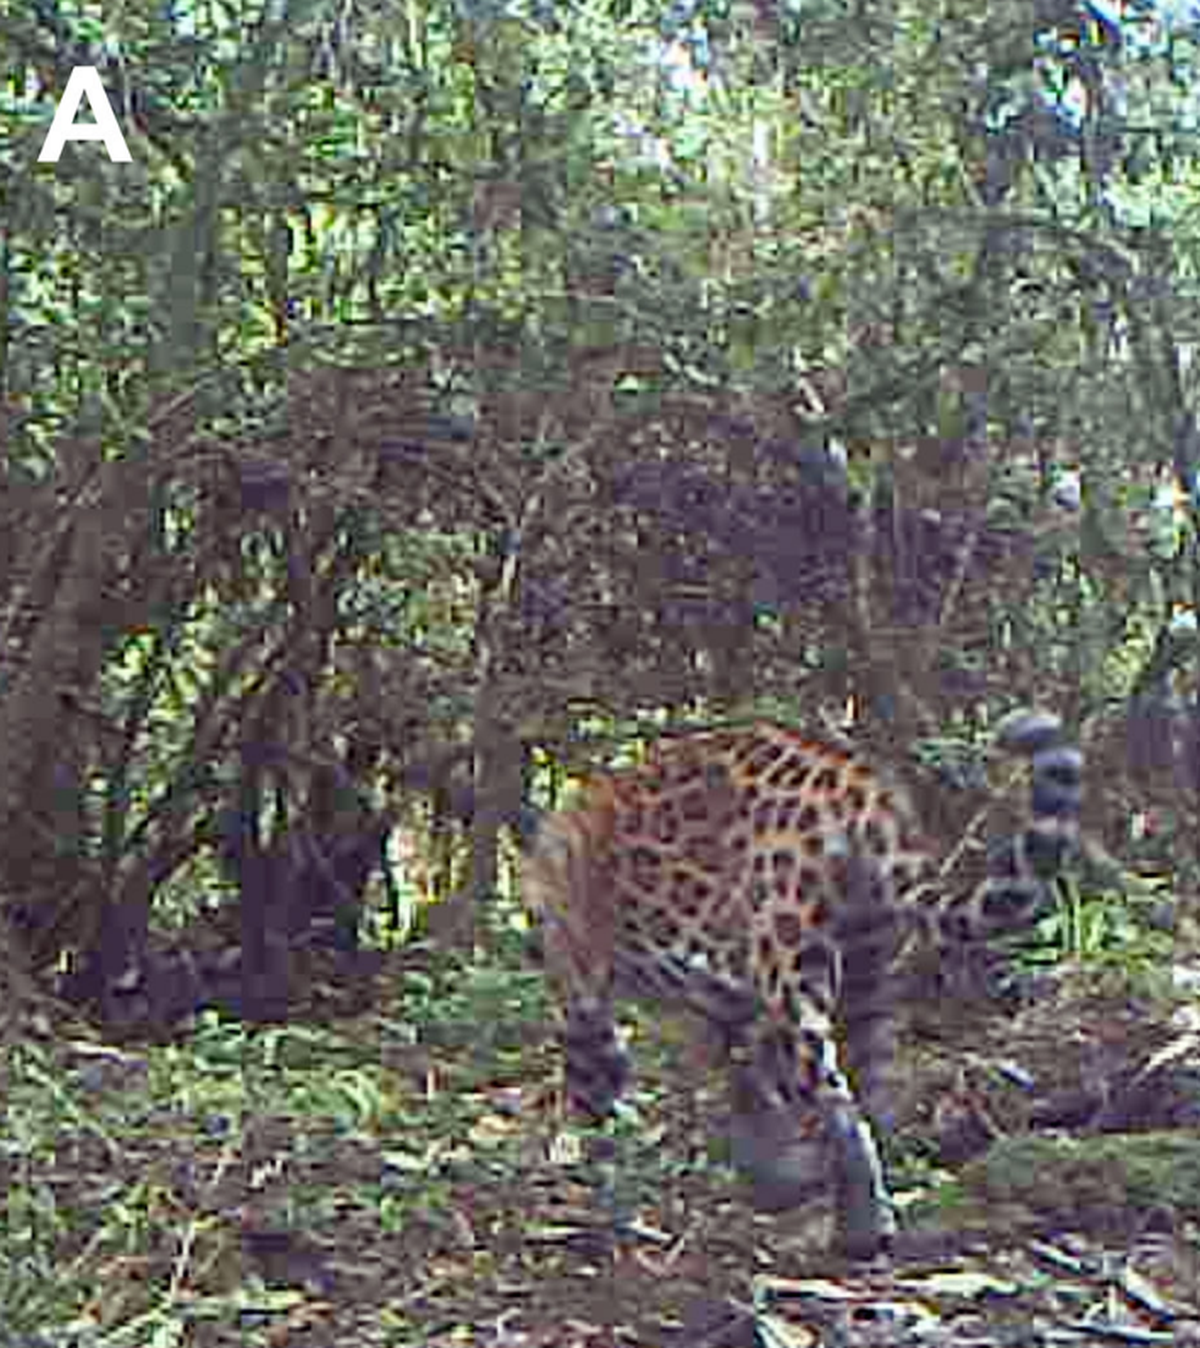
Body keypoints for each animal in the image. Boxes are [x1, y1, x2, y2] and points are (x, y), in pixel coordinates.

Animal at [521, 711, 1083, 1259]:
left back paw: (854, 1231)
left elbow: (596, 1075)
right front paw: (770, 1171)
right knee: (872, 1093)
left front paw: (568, 1148)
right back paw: (864, 1208)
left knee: (837, 1102)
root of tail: (859, 786)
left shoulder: (586, 988)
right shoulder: (726, 1003)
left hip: (788, 960)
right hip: (867, 969)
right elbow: (745, 1083)